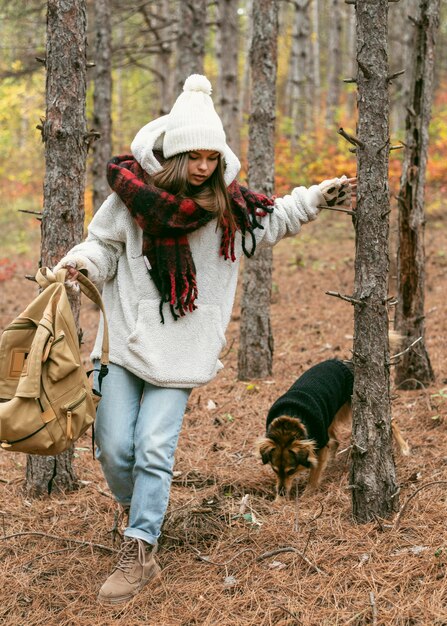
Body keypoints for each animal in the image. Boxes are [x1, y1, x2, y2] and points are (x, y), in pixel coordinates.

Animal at [260, 356, 410, 498]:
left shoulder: (319, 444)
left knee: (391, 422)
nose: (281, 493)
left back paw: (404, 447)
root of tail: (350, 361)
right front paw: (278, 500)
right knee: (335, 442)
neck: (288, 423)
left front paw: (307, 494)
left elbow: (314, 474)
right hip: (329, 418)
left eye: (291, 471)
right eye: (274, 470)